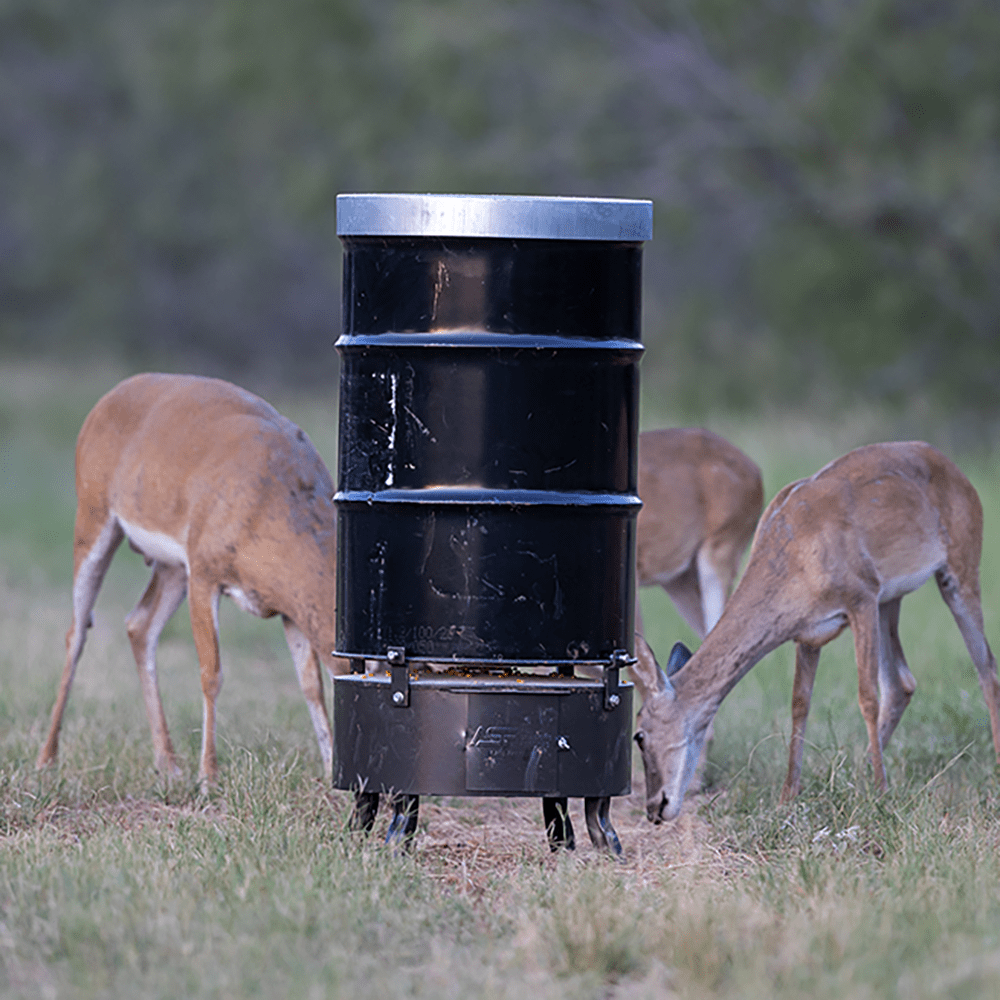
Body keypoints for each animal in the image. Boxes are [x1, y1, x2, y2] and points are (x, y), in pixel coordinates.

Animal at [36, 373, 349, 789]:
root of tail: (109, 397)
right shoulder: (205, 571)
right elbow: (211, 674)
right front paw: (209, 776)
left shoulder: (290, 608)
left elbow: (310, 684)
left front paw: (332, 771)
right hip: (93, 513)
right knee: (77, 631)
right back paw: (46, 758)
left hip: (171, 567)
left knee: (139, 625)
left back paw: (167, 762)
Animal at [629, 441, 1000, 824]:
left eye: (639, 735)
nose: (654, 808)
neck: (797, 559)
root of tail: (956, 469)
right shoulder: (808, 633)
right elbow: (800, 703)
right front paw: (788, 796)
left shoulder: (860, 595)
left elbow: (867, 696)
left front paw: (881, 795)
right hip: (889, 598)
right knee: (902, 683)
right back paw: (859, 769)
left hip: (960, 564)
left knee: (986, 668)